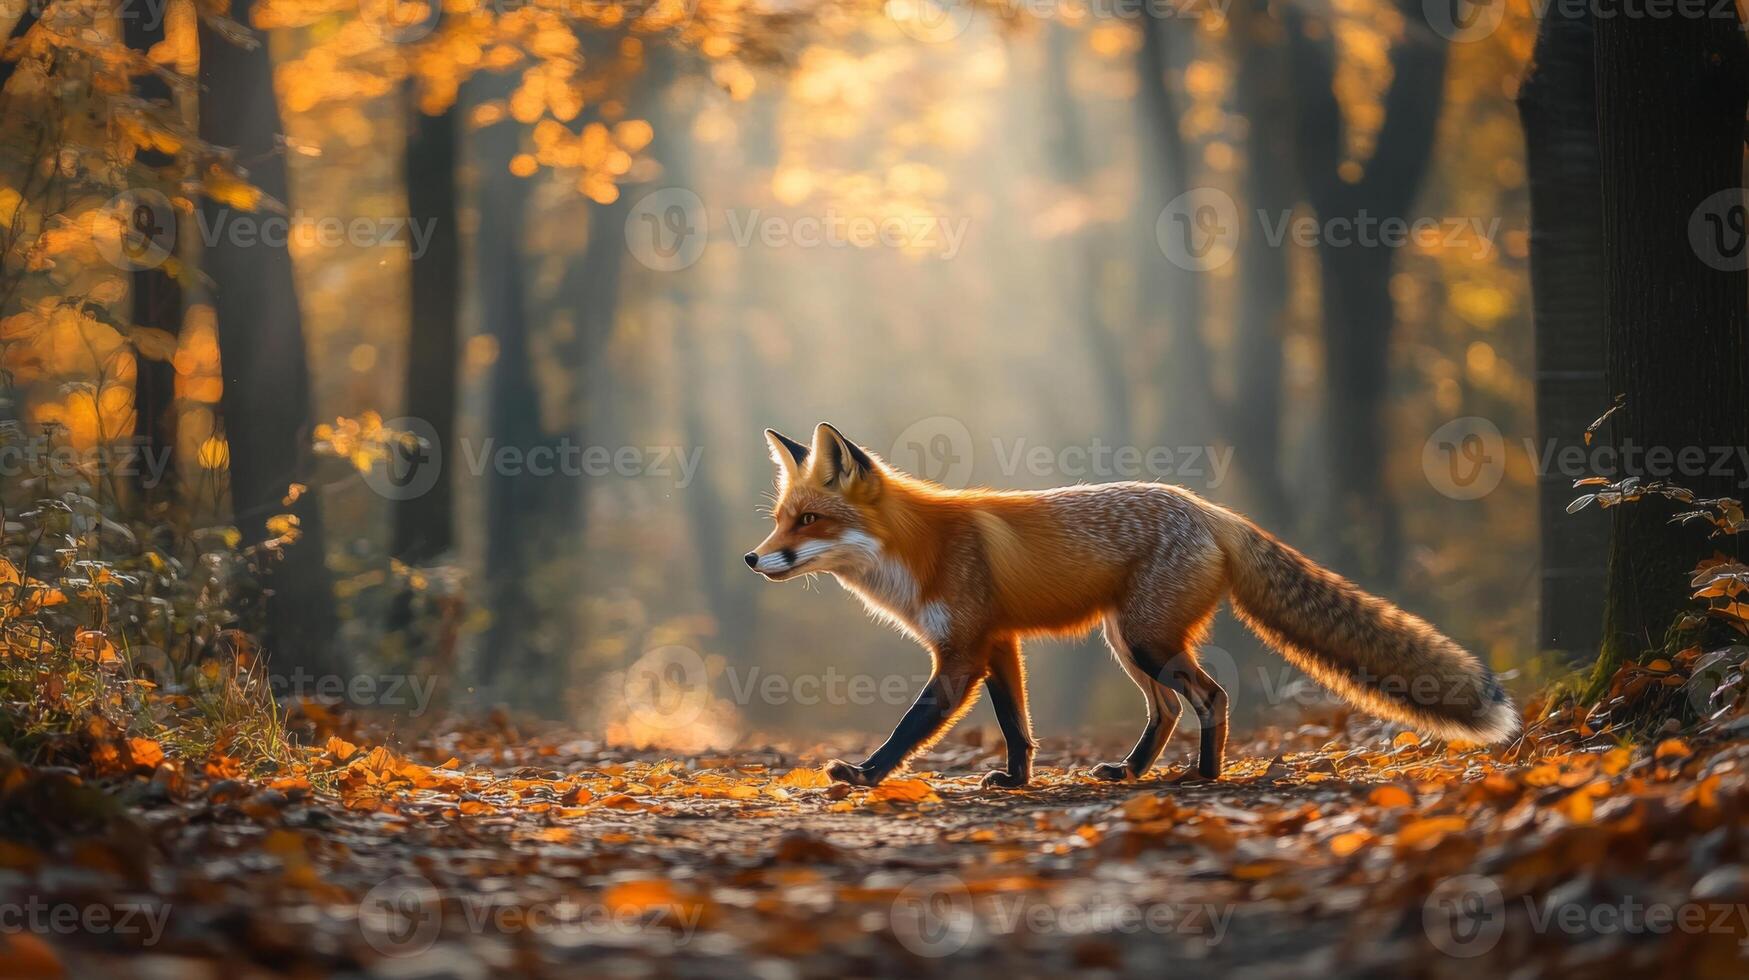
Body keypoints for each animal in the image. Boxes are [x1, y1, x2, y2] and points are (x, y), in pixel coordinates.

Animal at [744, 422, 1520, 789]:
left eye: (808, 521)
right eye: (781, 521)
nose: (753, 559)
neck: (917, 551)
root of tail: (1208, 509)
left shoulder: (961, 652)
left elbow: (912, 726)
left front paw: (866, 775)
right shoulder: (1000, 643)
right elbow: (1017, 727)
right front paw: (1018, 781)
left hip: (1146, 641)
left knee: (1209, 696)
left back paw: (1202, 775)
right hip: (1127, 642)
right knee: (1170, 707)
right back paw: (1134, 771)